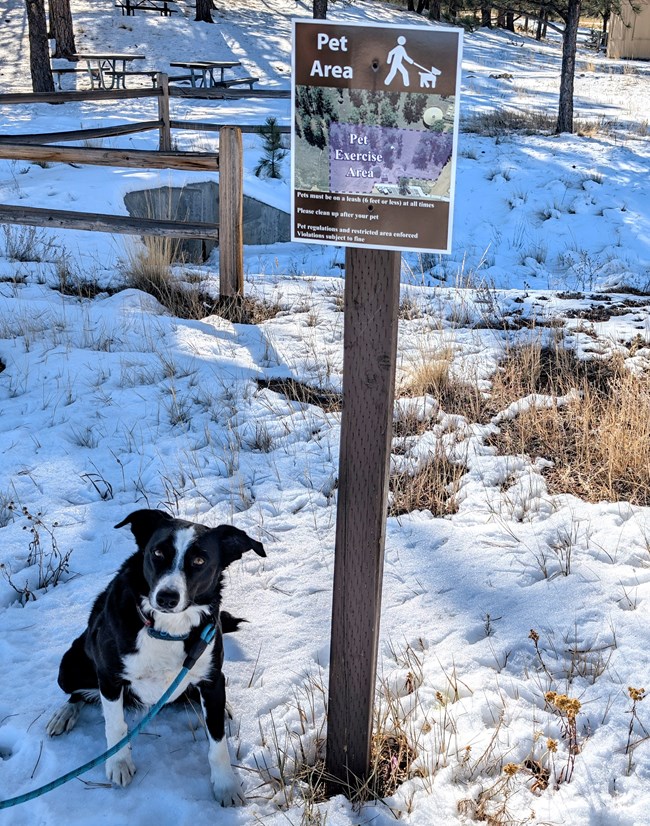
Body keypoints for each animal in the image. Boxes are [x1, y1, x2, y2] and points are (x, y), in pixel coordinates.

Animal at [45, 508, 264, 804]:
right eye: (157, 553)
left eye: (199, 560)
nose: (167, 597)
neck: (167, 630)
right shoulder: (109, 677)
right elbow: (115, 726)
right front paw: (119, 764)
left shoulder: (211, 679)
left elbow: (217, 742)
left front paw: (226, 785)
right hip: (69, 665)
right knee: (77, 694)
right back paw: (64, 714)